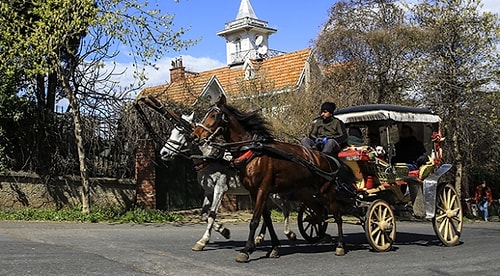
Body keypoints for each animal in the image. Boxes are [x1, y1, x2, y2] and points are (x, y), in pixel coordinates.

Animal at [159, 113, 296, 251]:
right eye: (172, 131)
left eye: (181, 132)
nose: (163, 153)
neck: (211, 159)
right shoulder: (208, 191)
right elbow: (204, 214)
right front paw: (224, 230)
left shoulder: (219, 189)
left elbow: (211, 215)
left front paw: (203, 241)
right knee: (267, 212)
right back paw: (259, 237)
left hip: (274, 193)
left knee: (285, 207)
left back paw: (289, 233)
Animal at [189, 97, 358, 264]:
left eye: (214, 115)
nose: (194, 136)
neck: (253, 151)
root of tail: (325, 157)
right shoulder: (254, 191)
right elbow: (267, 219)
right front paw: (274, 247)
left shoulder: (262, 189)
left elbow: (255, 220)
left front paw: (246, 250)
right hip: (305, 192)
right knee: (318, 213)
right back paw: (321, 234)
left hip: (326, 191)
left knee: (337, 215)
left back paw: (340, 245)